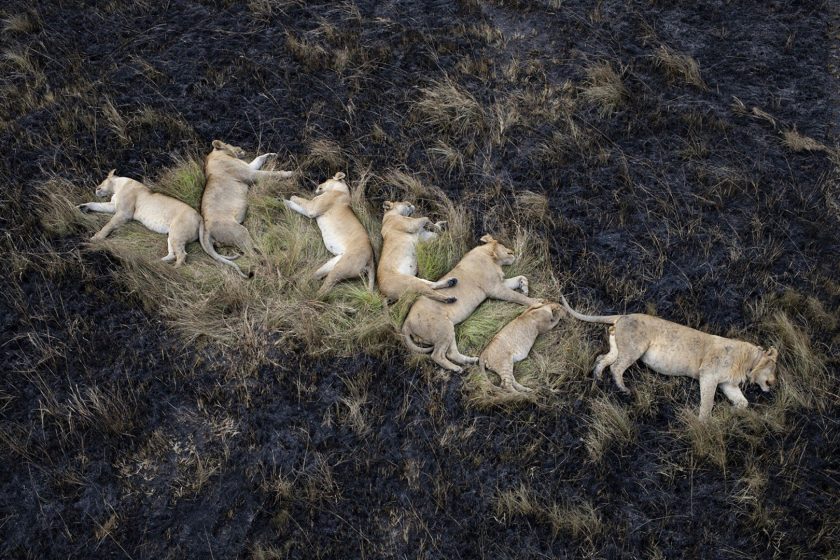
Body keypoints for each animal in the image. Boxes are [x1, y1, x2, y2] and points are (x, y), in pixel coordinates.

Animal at [77, 171, 205, 266]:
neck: (117, 186)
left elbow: (108, 225)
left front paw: (96, 238)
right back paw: (154, 262)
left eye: (103, 181)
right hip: (172, 234)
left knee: (182, 255)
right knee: (173, 254)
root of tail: (200, 217)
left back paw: (173, 270)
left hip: (177, 233)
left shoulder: (124, 213)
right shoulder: (113, 206)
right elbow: (96, 204)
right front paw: (82, 207)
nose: (96, 189)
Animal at [202, 139, 294, 276]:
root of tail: (207, 232)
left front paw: (271, 155)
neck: (217, 155)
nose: (241, 148)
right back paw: (268, 254)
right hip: (240, 232)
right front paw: (288, 173)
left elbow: (258, 159)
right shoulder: (250, 174)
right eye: (229, 143)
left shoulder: (249, 167)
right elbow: (270, 174)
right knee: (251, 253)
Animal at [402, 233, 544, 372]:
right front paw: (537, 302)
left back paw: (471, 361)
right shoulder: (495, 289)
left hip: (448, 328)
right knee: (436, 355)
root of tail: (406, 322)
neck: (491, 257)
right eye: (503, 245)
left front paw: (524, 289)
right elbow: (518, 297)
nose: (513, 252)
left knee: (451, 353)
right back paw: (456, 369)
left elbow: (522, 277)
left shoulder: (501, 283)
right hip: (442, 328)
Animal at [560, 296, 776, 418]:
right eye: (774, 369)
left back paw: (597, 377)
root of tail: (623, 315)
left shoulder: (727, 384)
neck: (748, 362)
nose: (774, 383)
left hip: (618, 347)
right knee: (616, 367)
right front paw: (704, 423)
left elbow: (743, 402)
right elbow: (707, 402)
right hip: (635, 347)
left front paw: (732, 411)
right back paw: (623, 389)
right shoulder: (709, 374)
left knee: (602, 359)